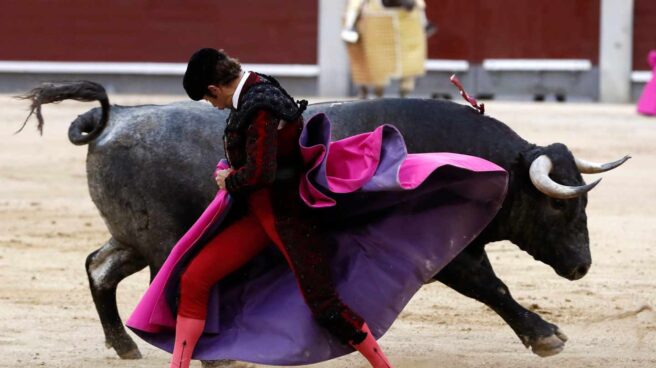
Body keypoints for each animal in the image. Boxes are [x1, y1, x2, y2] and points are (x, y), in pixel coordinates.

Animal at [18, 81, 628, 362]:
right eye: (560, 204)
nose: (581, 267)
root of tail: (113, 117)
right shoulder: (452, 252)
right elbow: (492, 286)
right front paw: (546, 336)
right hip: (163, 240)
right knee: (160, 282)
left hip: (132, 236)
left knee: (100, 268)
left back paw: (124, 346)